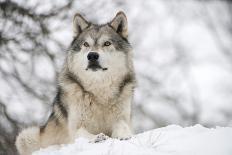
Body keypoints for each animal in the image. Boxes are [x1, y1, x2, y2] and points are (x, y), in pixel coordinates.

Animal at [15, 11, 136, 155]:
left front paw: (124, 135)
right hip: (26, 135)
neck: (99, 93)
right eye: (86, 44)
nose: (92, 55)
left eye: (107, 43)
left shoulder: (122, 118)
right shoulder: (76, 127)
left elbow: (122, 126)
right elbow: (83, 134)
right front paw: (97, 137)